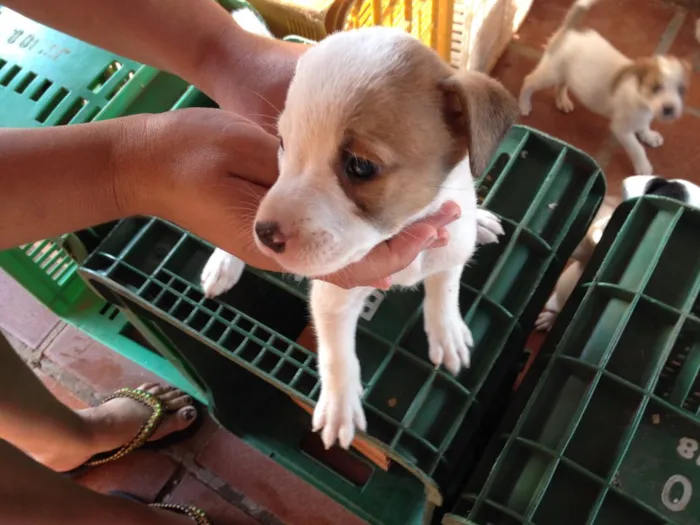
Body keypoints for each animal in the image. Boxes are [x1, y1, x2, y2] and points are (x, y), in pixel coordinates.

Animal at [200, 11, 516, 446]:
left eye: (361, 166)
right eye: (283, 143)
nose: (263, 234)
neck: (406, 231)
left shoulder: (449, 251)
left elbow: (444, 294)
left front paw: (447, 332)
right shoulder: (334, 296)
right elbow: (338, 356)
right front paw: (339, 406)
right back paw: (224, 263)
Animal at [520, 0, 688, 176]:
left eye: (681, 90)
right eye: (656, 87)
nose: (669, 109)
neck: (641, 98)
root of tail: (571, 29)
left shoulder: (642, 117)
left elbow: (643, 127)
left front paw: (650, 136)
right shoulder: (622, 130)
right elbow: (637, 149)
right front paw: (643, 167)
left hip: (567, 73)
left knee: (561, 85)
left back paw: (562, 101)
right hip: (550, 73)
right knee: (529, 81)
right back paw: (524, 105)